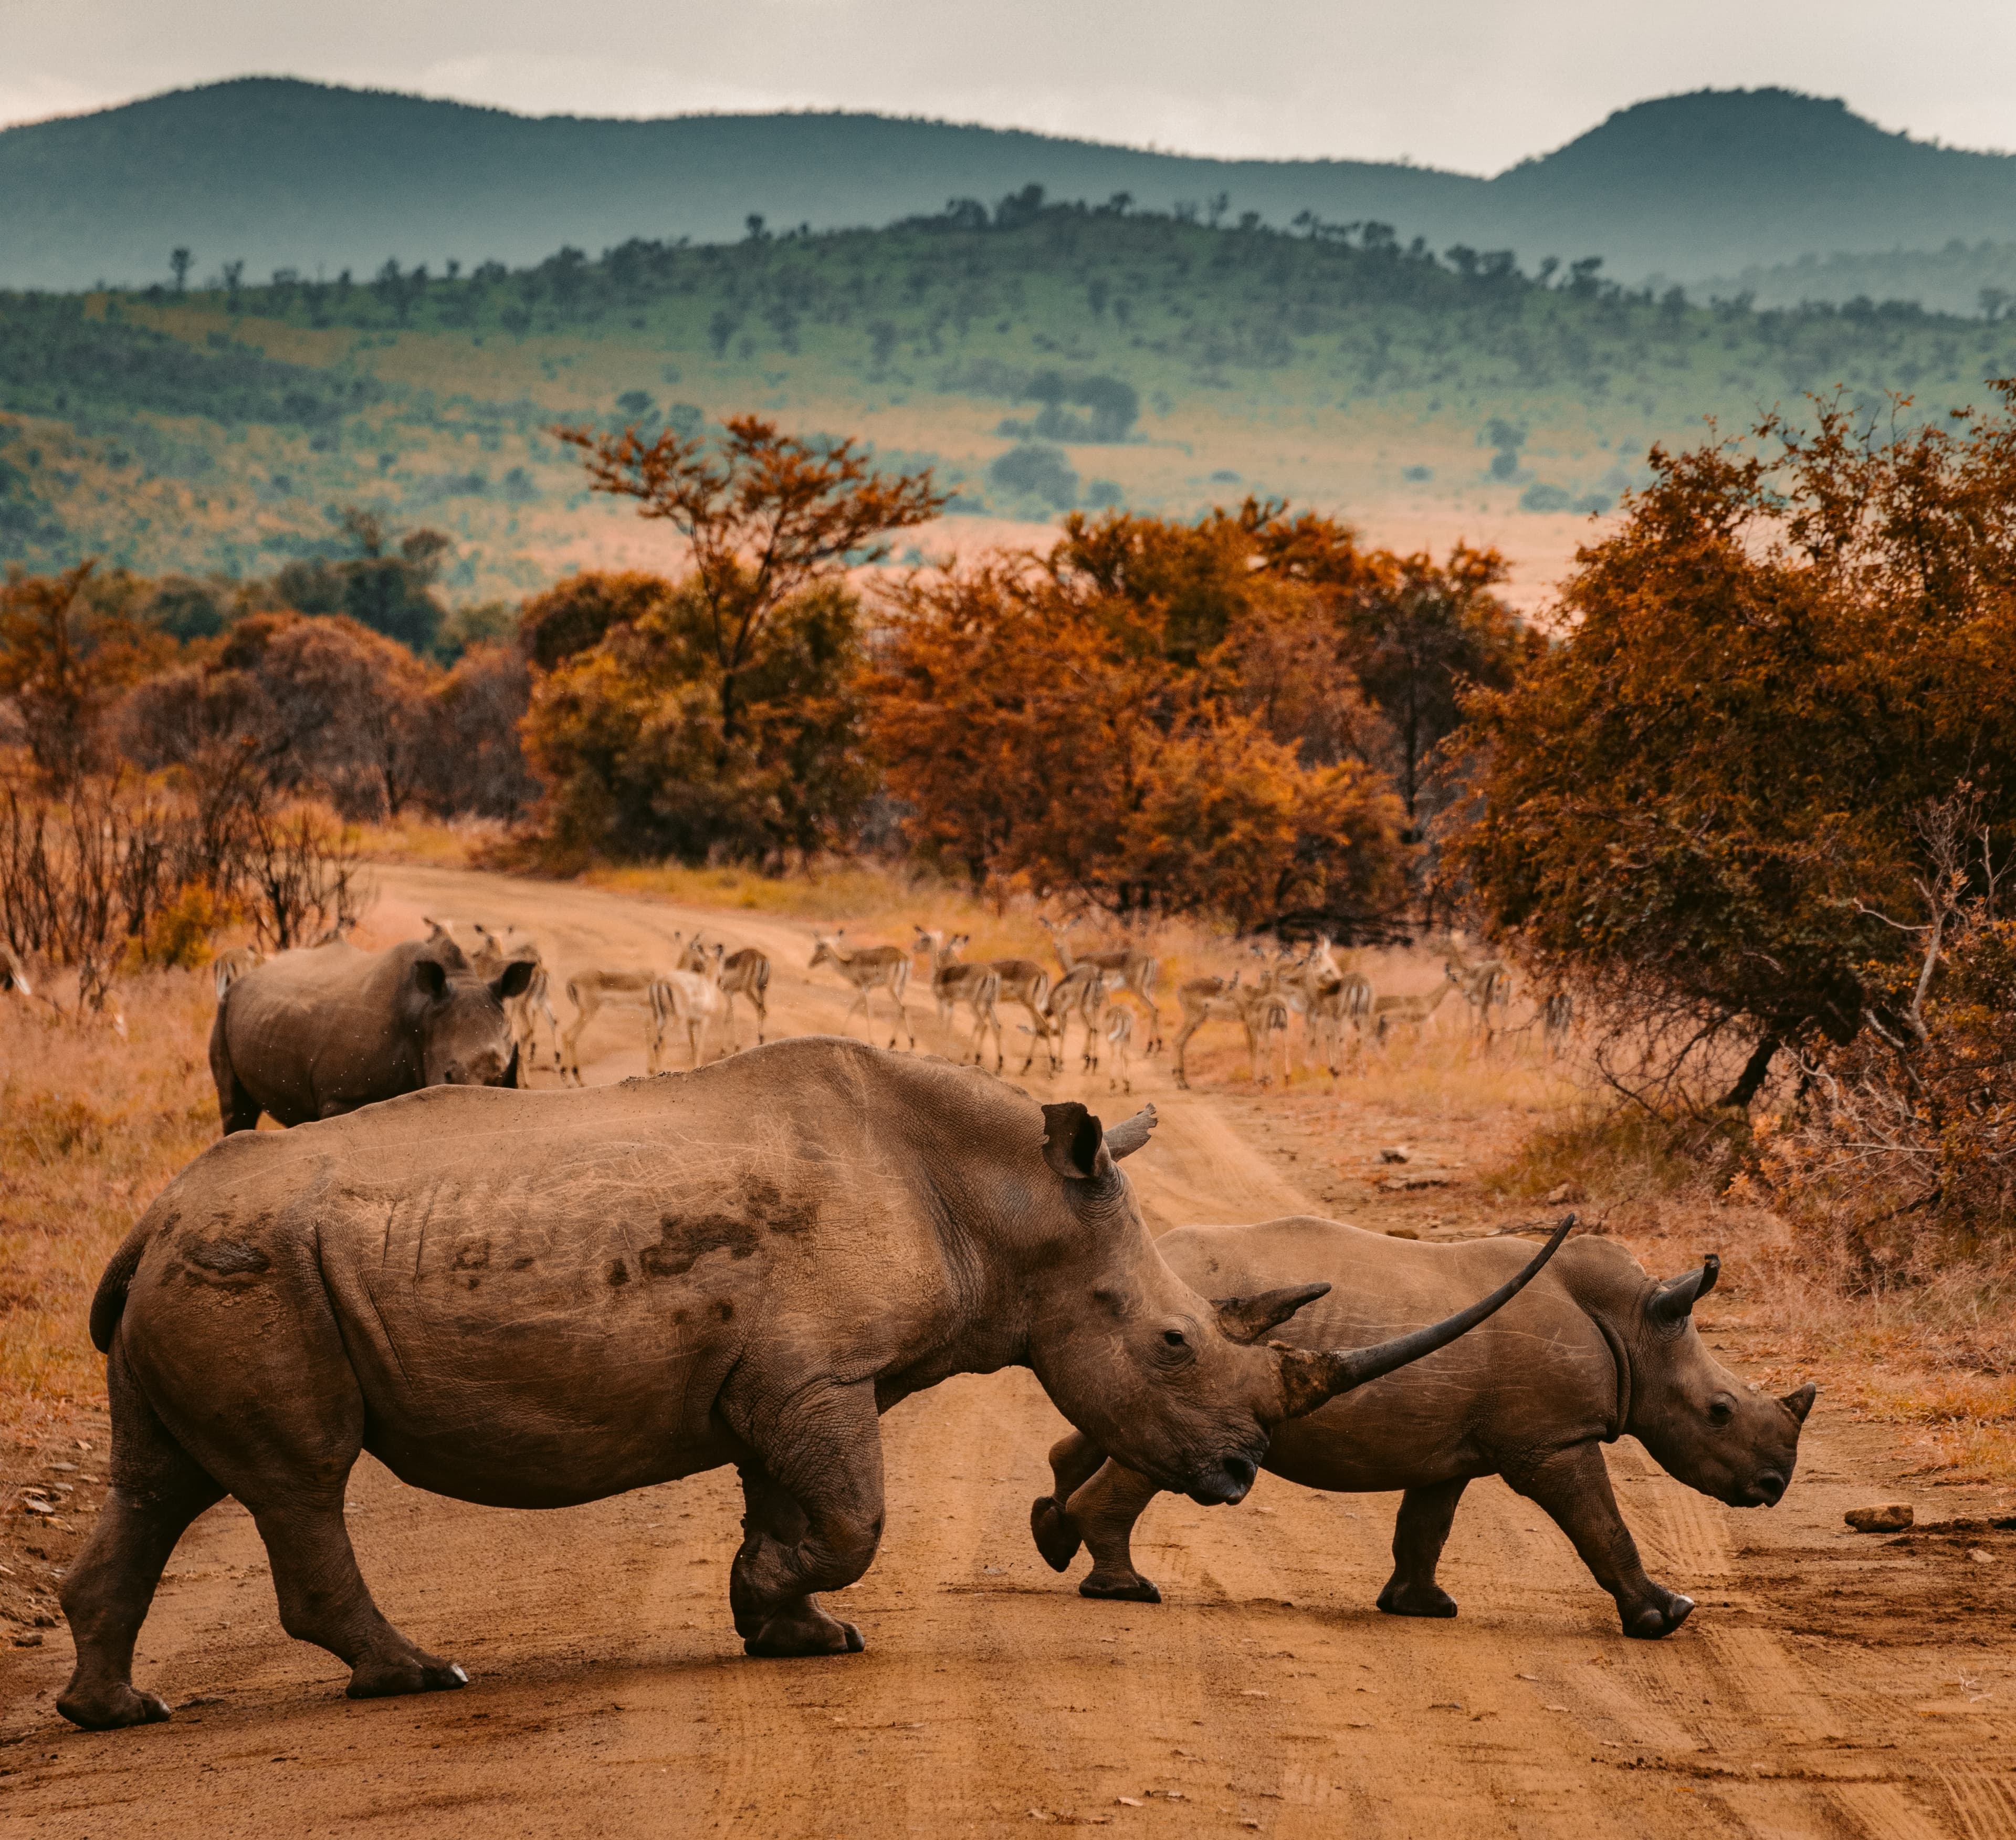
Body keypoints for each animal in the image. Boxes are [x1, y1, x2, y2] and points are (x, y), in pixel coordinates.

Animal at [57, 1041, 1568, 1730]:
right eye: (1176, 1345)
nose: (1242, 1476)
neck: (1008, 1204)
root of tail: (146, 1217)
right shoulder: (817, 1375)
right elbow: (853, 1518)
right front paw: (787, 1608)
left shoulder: (785, 1381)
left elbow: (797, 1505)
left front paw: (786, 1629)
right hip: (255, 1268)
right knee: (300, 1479)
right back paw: (419, 1678)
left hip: (206, 1264)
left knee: (160, 1482)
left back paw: (116, 1712)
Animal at [209, 935, 535, 1131]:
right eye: (448, 1076)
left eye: (504, 1076)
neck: (423, 1015)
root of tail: (246, 976)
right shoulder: (342, 1097)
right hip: (224, 1009)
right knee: (235, 1110)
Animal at [1031, 1215, 1814, 1639]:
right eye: (1719, 1412)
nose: (1774, 1485)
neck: (1636, 1325)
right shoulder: (1552, 1442)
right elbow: (1602, 1525)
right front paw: (1667, 1617)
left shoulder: (1453, 1448)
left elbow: (1426, 1527)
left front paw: (1421, 1609)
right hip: (1189, 1344)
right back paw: (1126, 1589)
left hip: (1157, 1339)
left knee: (1109, 1427)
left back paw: (1055, 1538)